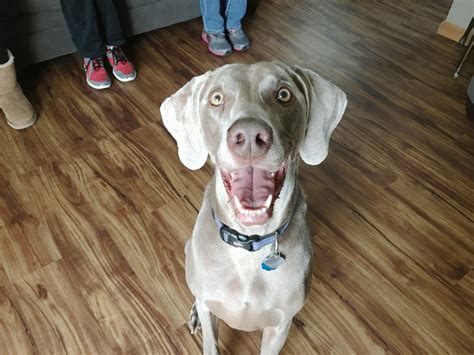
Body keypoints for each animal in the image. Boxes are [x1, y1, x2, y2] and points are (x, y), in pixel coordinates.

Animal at [161, 62, 346, 354]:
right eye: (216, 98)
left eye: (284, 95)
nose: (248, 136)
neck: (248, 245)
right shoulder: (210, 307)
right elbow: (210, 338)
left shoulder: (279, 326)